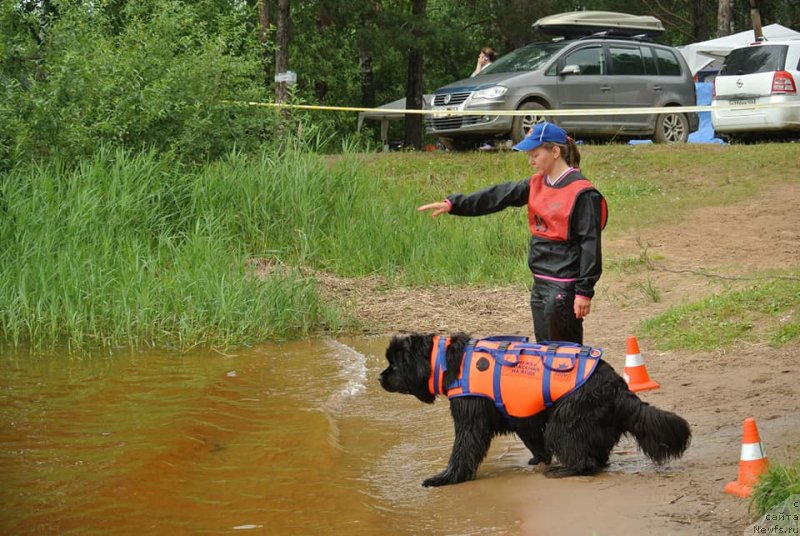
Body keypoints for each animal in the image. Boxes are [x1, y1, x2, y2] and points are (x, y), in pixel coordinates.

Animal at [378, 332, 692, 488]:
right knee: (598, 455)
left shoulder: (471, 419)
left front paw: (446, 478)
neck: (446, 360)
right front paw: (538, 458)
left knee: (584, 459)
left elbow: (462, 450)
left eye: (395, 363)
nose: (380, 378)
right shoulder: (520, 417)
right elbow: (533, 440)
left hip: (565, 419)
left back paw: (562, 471)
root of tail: (618, 387)